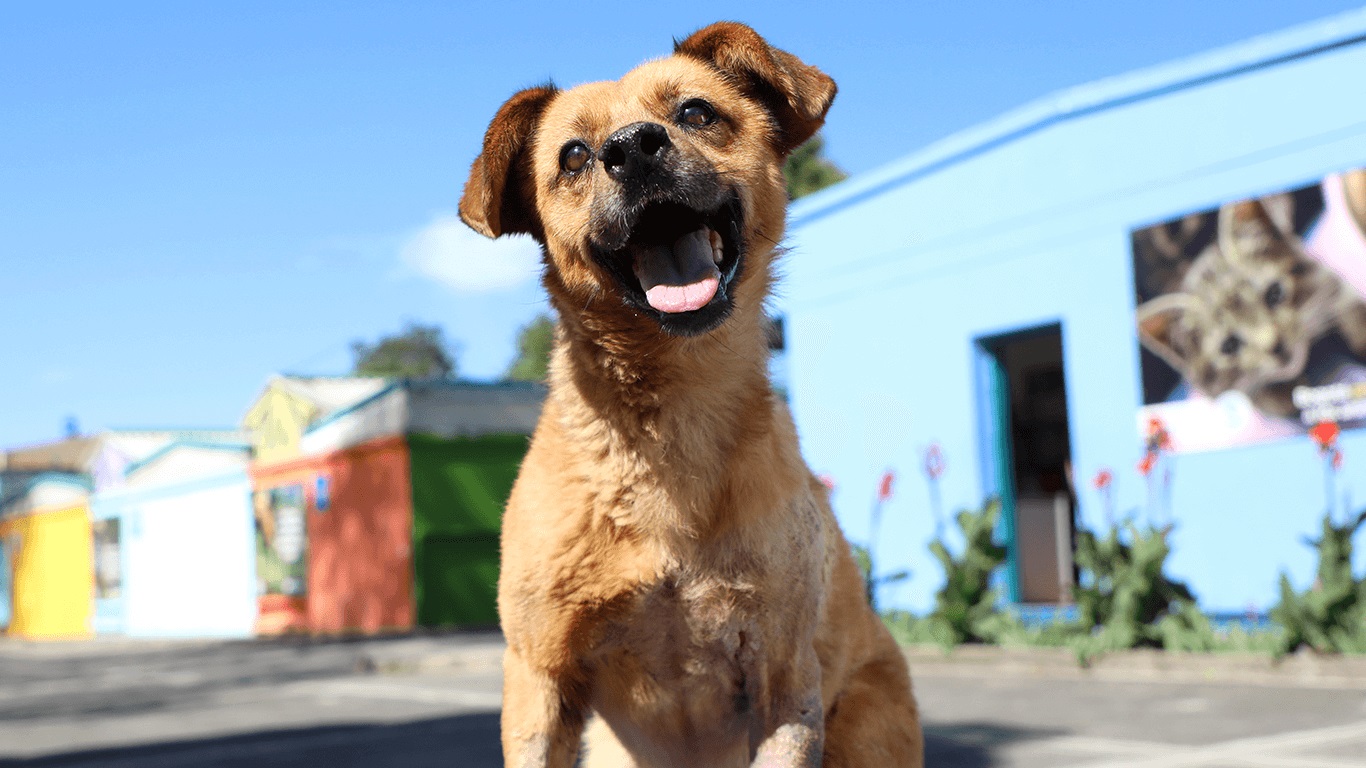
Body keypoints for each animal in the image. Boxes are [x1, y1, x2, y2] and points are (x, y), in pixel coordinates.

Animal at [464, 20, 923, 759]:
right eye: (573, 155)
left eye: (695, 113)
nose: (632, 148)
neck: (669, 421)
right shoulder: (538, 678)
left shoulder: (784, 678)